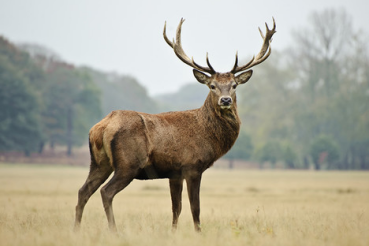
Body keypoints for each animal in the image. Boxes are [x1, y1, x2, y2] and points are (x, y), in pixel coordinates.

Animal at [73, 17, 274, 233]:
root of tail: (101, 127)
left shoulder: (174, 173)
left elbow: (176, 208)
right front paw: (198, 233)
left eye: (234, 85)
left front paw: (173, 232)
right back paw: (114, 231)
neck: (207, 134)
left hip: (99, 162)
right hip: (128, 163)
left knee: (83, 191)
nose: (226, 100)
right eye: (212, 86)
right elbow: (195, 207)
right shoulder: (192, 166)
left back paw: (76, 230)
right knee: (106, 192)